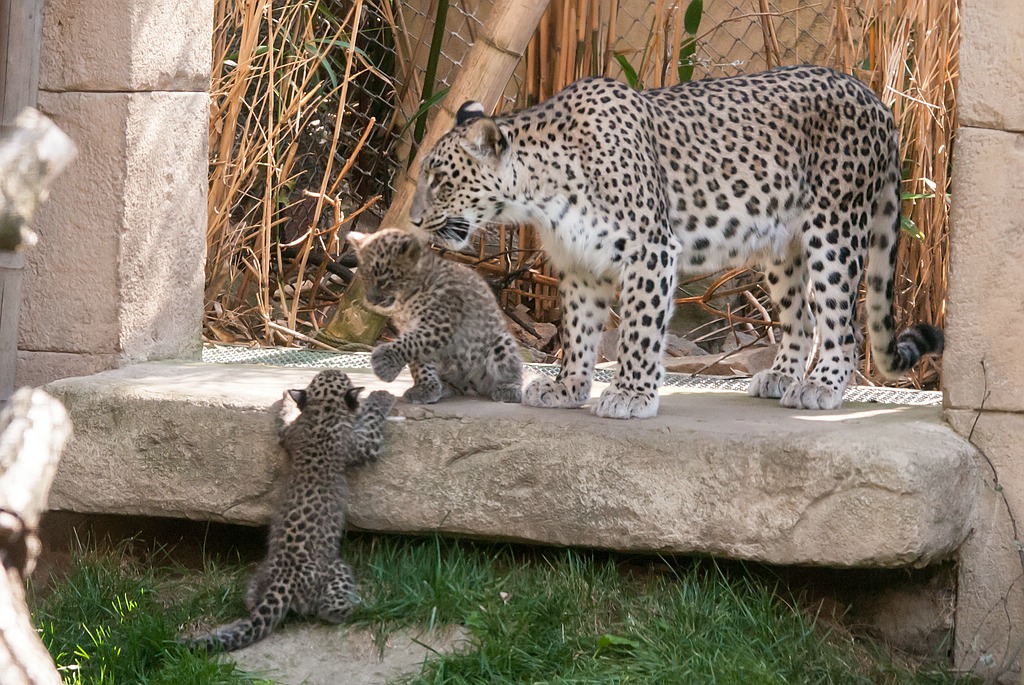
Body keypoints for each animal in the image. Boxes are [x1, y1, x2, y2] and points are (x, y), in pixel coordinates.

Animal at [184, 370, 395, 652]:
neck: (321, 414)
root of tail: (283, 579)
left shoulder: (288, 434)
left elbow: (285, 420)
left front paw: (286, 398)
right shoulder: (361, 444)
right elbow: (371, 421)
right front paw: (380, 397)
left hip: (257, 579)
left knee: (251, 603)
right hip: (337, 568)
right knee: (329, 609)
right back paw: (373, 606)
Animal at [347, 227, 523, 404]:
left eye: (383, 281)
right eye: (365, 278)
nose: (371, 300)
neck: (405, 300)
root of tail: (472, 386)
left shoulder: (439, 325)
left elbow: (410, 343)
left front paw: (384, 362)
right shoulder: (412, 327)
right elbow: (418, 359)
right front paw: (425, 388)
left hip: (501, 341)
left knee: (511, 372)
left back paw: (507, 389)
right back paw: (446, 387)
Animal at [408, 64, 943, 419]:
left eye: (440, 180)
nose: (412, 220)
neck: (539, 194)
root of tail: (876, 99)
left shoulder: (649, 250)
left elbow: (639, 330)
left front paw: (631, 394)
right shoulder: (582, 266)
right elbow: (578, 332)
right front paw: (568, 388)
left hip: (834, 229)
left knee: (842, 323)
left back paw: (823, 386)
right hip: (781, 245)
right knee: (803, 318)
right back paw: (781, 377)